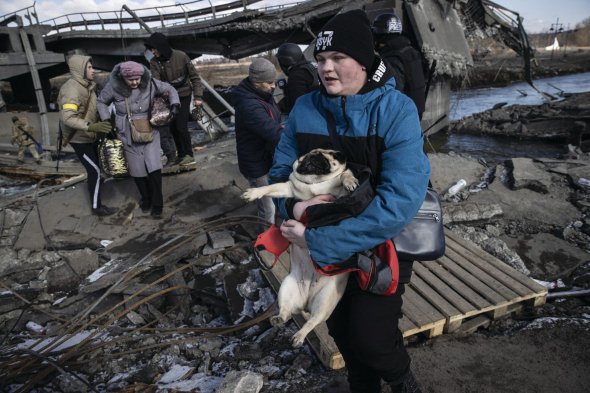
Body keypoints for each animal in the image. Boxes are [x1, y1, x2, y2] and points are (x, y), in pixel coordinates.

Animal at [242, 149, 360, 348]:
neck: (315, 183)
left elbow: (344, 174)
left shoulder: (338, 196)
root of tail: (305, 303)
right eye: (306, 156)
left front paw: (350, 181)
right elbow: (270, 187)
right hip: (286, 287)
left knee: (313, 321)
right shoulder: (286, 189)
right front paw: (254, 192)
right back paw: (280, 320)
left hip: (324, 302)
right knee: (286, 311)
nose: (314, 157)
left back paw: (299, 335)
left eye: (329, 156)